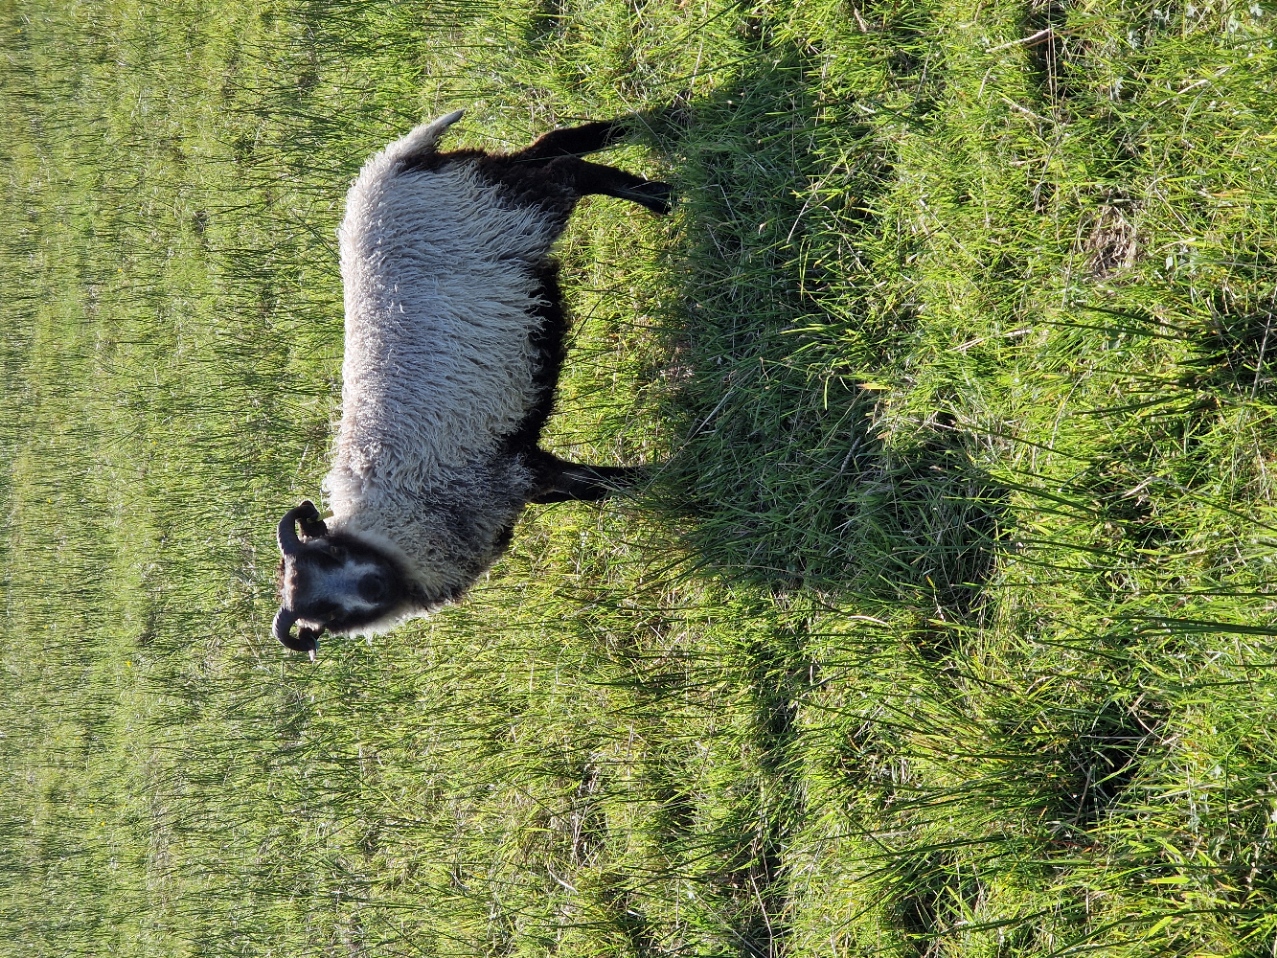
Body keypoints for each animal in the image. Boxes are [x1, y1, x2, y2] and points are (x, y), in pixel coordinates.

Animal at [273, 110, 672, 658]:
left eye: (331, 554)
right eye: (327, 616)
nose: (372, 586)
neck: (399, 516)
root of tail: (390, 165)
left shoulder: (502, 471)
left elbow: (598, 484)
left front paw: (679, 484)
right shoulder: (519, 484)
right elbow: (586, 490)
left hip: (505, 209)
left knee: (566, 169)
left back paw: (663, 193)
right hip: (486, 182)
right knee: (550, 146)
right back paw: (663, 133)